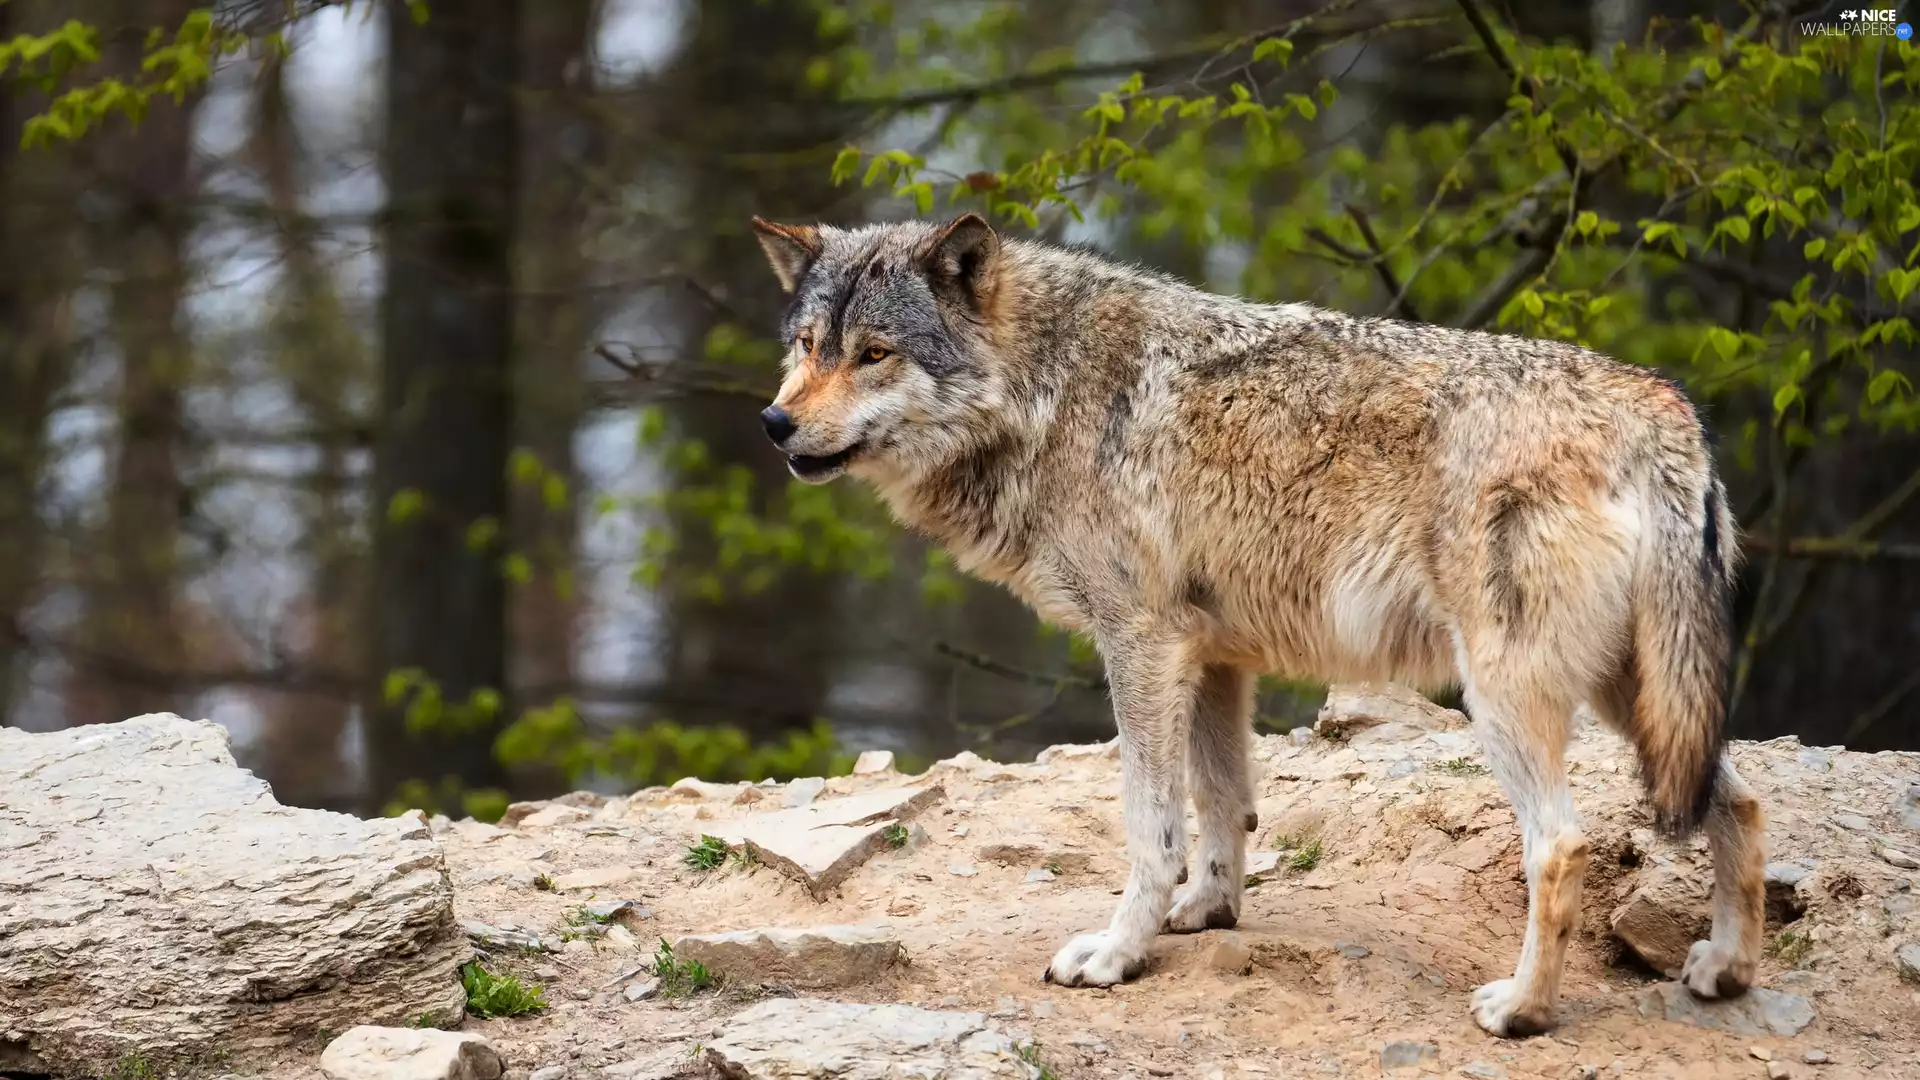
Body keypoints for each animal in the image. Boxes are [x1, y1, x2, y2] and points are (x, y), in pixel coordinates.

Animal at [748, 212, 1765, 1036]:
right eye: (807, 344)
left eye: (875, 353)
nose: (772, 423)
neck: (1045, 391)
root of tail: (1664, 410)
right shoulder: (1212, 658)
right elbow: (1222, 803)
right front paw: (1209, 910)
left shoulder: (1141, 645)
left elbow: (1151, 824)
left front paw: (1118, 953)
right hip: (1639, 699)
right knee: (1740, 798)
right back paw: (1725, 971)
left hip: (1509, 699)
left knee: (1561, 846)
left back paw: (1522, 1011)